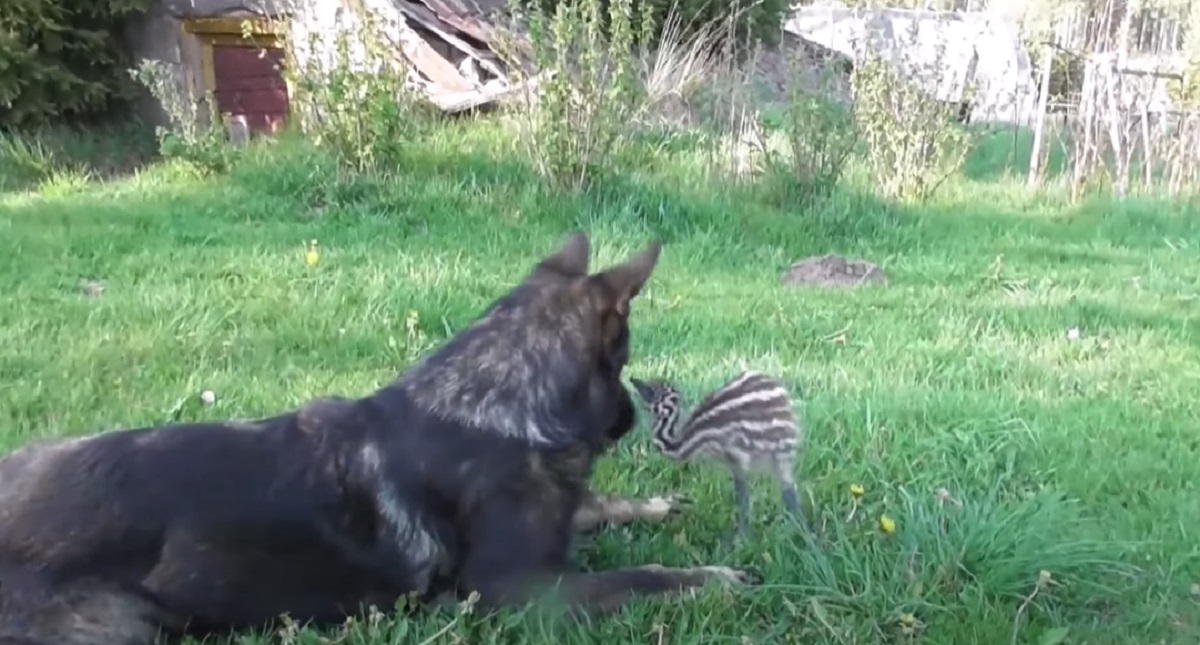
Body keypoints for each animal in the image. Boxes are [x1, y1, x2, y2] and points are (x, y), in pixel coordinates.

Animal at [0, 232, 758, 642]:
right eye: (622, 362)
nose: (631, 422)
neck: (495, 399)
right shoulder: (520, 591)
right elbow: (642, 574)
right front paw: (712, 579)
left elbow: (592, 508)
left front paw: (649, 506)